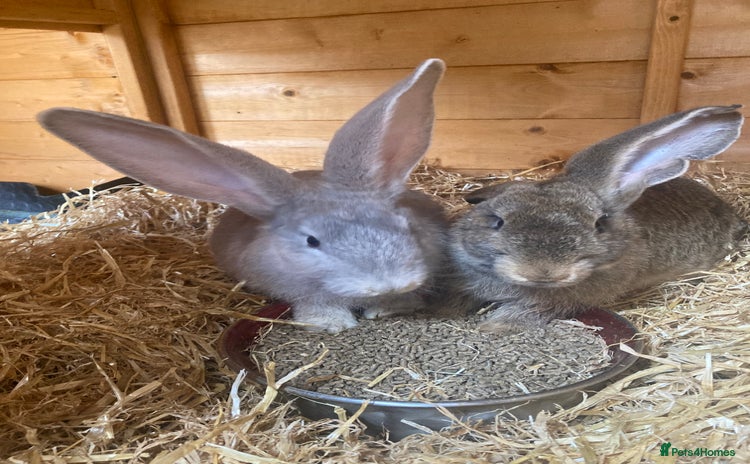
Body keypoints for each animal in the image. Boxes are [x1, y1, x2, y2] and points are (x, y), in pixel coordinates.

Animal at [37, 58, 449, 333]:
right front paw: (331, 324)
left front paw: (391, 307)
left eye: (404, 225)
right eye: (312, 241)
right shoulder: (299, 289)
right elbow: (316, 302)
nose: (390, 281)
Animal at [448, 105, 746, 331]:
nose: (544, 272)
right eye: (497, 221)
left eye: (599, 224)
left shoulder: (562, 301)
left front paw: (492, 328)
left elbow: (529, 311)